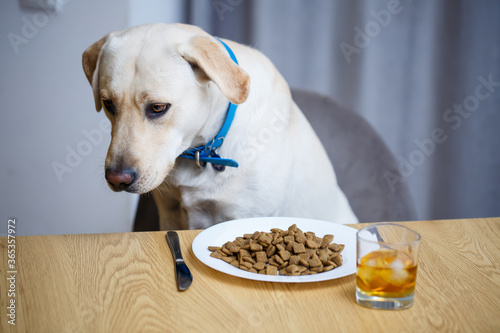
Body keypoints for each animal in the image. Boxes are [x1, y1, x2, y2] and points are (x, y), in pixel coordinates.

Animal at [82, 22, 358, 228]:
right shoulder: (169, 214)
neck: (203, 148)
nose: (117, 179)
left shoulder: (248, 216)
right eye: (108, 104)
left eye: (158, 108)